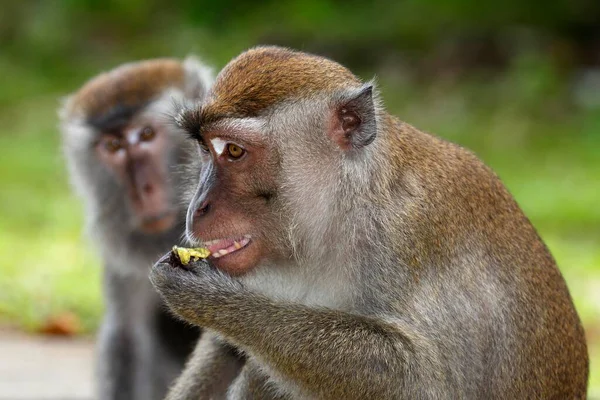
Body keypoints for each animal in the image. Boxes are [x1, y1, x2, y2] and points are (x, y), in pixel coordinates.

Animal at [149, 45, 584, 398]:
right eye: (205, 150)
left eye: (234, 151)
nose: (197, 206)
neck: (346, 211)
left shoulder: (405, 238)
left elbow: (422, 381)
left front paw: (210, 296)